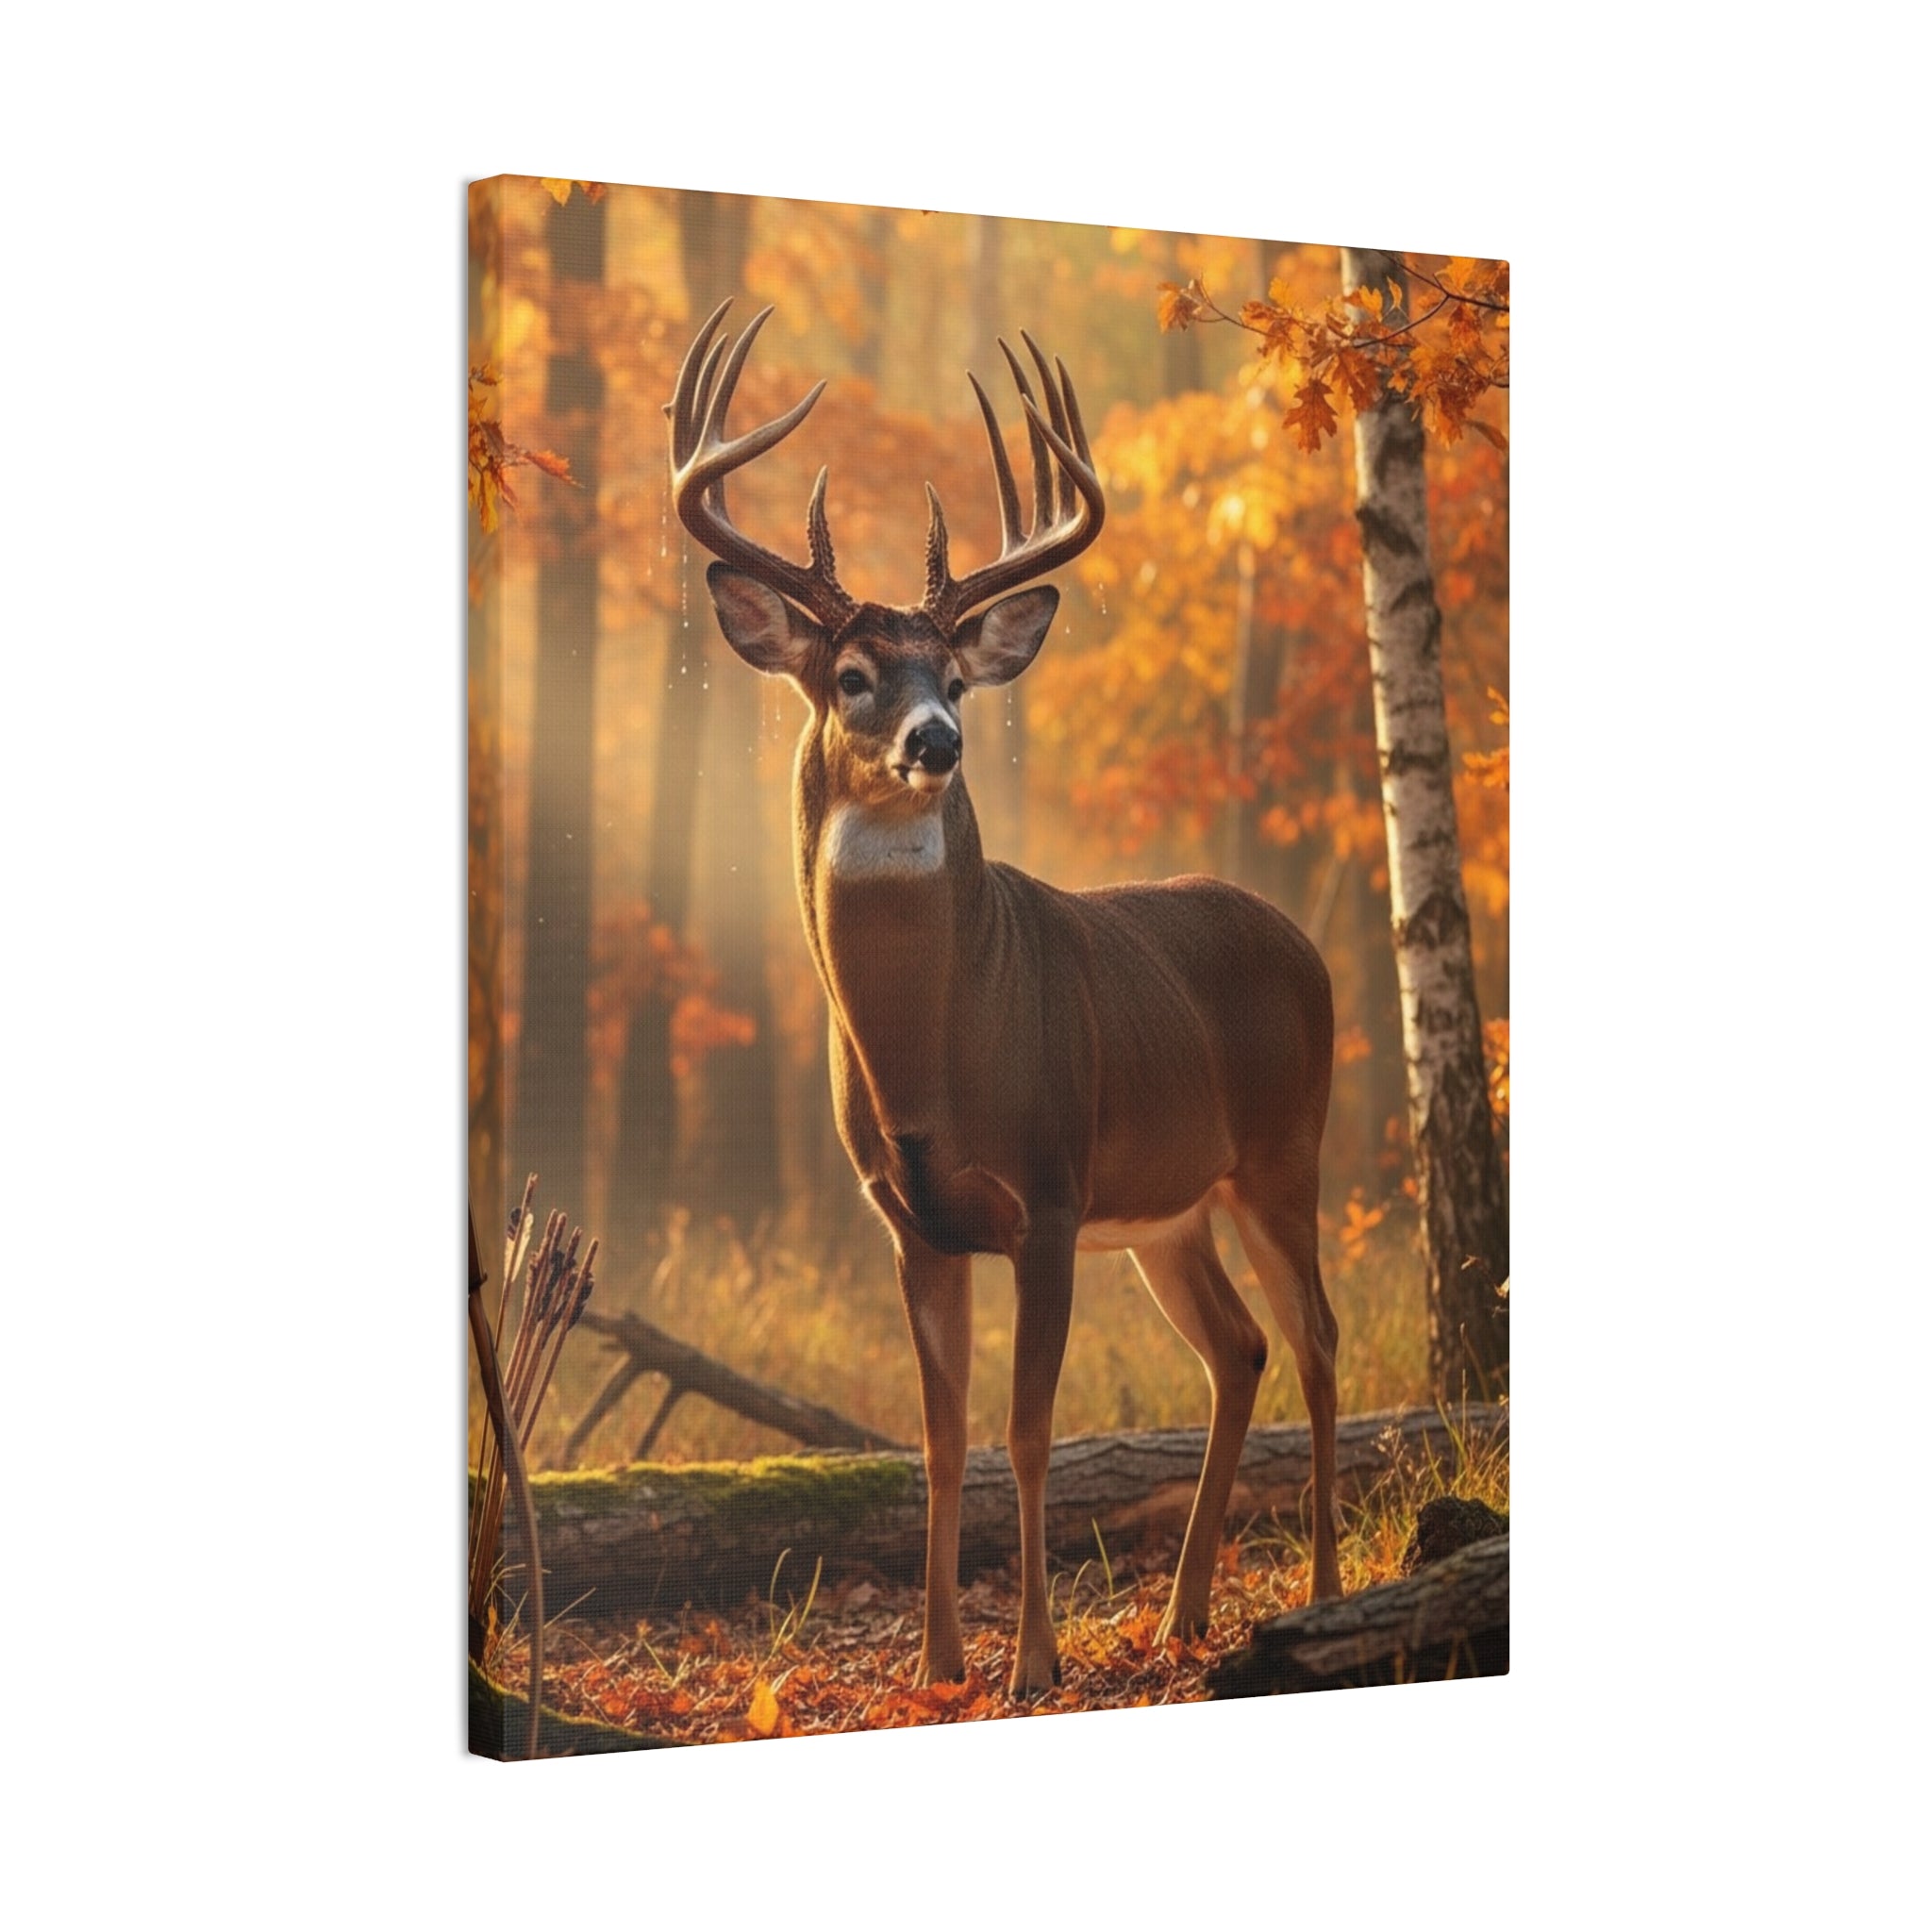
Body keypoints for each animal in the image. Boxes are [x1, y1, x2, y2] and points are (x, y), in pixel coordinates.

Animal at [666, 302, 1340, 1694]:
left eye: (957, 676)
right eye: (854, 673)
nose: (939, 739)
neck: (932, 1052)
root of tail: (1306, 945)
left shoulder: (1049, 1190)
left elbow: (1028, 1433)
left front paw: (1031, 1661)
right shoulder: (912, 1221)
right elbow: (940, 1442)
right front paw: (938, 1663)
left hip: (1280, 1154)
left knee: (1317, 1340)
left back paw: (1319, 1589)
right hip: (1170, 1212)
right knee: (1240, 1348)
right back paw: (1182, 1617)